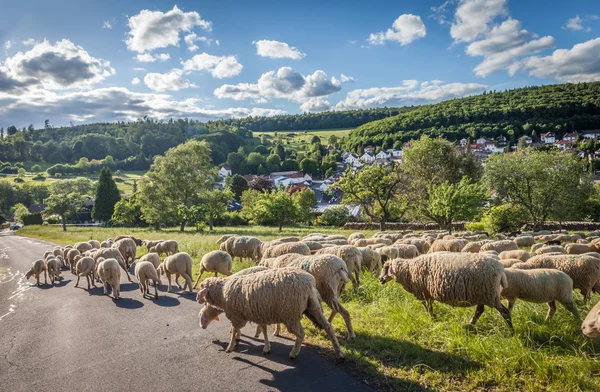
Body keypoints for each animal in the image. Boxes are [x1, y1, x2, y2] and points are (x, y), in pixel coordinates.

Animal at [198, 268, 342, 360]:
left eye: (201, 288)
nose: (198, 299)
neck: (222, 292)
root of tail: (310, 283)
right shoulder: (259, 313)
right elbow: (264, 330)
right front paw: (266, 347)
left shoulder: (237, 316)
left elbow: (234, 331)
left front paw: (230, 347)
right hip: (314, 307)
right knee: (328, 327)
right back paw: (339, 352)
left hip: (290, 314)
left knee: (301, 334)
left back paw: (293, 353)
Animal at [382, 253, 512, 330]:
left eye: (385, 268)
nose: (380, 280)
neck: (408, 270)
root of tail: (501, 270)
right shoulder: (428, 292)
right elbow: (430, 306)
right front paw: (434, 318)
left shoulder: (423, 292)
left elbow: (427, 307)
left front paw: (433, 319)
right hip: (484, 294)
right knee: (480, 310)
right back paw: (470, 325)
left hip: (489, 293)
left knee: (505, 312)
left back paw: (511, 332)